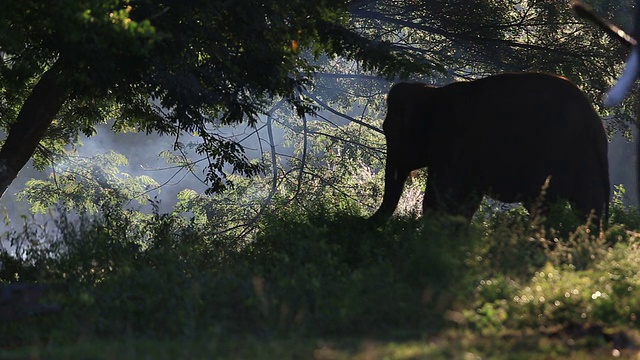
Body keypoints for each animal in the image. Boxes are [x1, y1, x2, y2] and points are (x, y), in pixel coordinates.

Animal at [372, 72, 612, 228]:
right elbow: (466, 203)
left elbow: (440, 196)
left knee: (544, 208)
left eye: (389, 130)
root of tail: (593, 123)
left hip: (553, 158)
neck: (432, 94)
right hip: (587, 162)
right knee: (588, 210)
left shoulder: (451, 139)